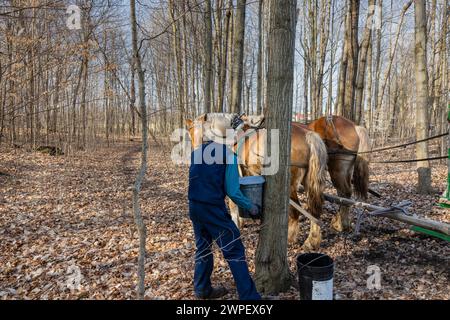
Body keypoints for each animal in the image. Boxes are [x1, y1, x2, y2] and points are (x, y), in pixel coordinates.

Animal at [185, 114, 328, 250]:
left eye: (192, 133)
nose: (196, 154)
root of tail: (307, 134)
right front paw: (242, 219)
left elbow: (233, 202)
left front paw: (236, 223)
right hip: (309, 182)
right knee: (314, 210)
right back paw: (311, 241)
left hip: (290, 186)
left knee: (296, 211)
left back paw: (290, 238)